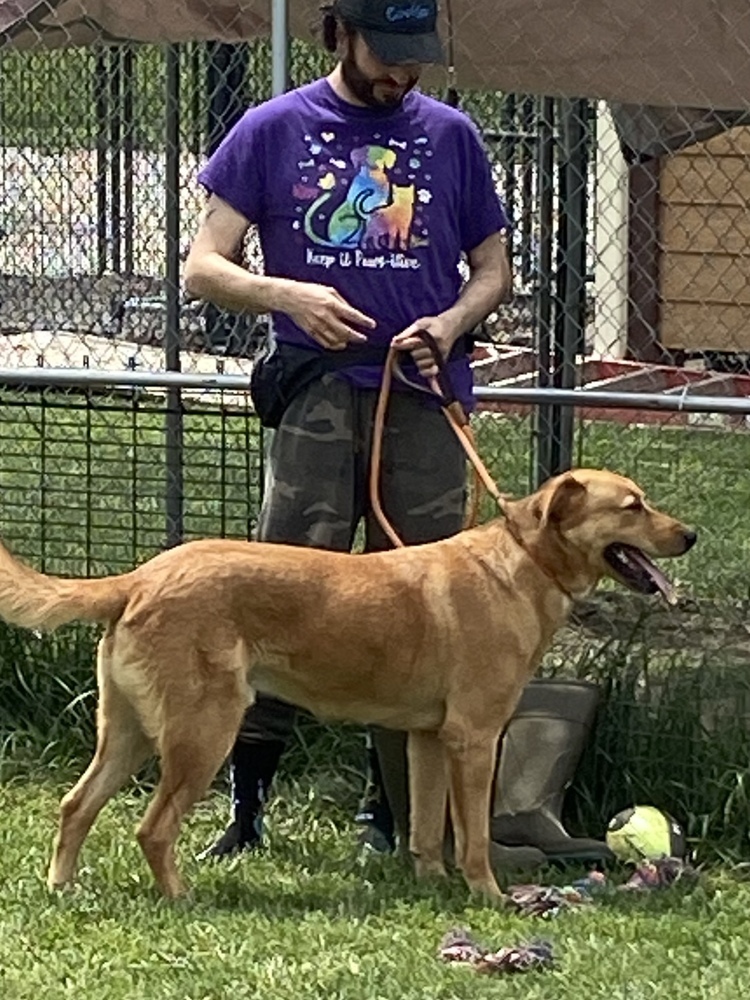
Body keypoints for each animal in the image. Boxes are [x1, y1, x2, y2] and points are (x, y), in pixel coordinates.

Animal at [0, 466, 696, 900]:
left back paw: (62, 887)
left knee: (76, 805)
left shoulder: (428, 739)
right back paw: (180, 897)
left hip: (131, 734)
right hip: (203, 733)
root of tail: (140, 577)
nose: (691, 534)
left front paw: (432, 887)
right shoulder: (474, 738)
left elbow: (425, 830)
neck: (523, 564)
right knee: (153, 828)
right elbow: (472, 836)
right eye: (633, 505)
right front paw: (489, 895)